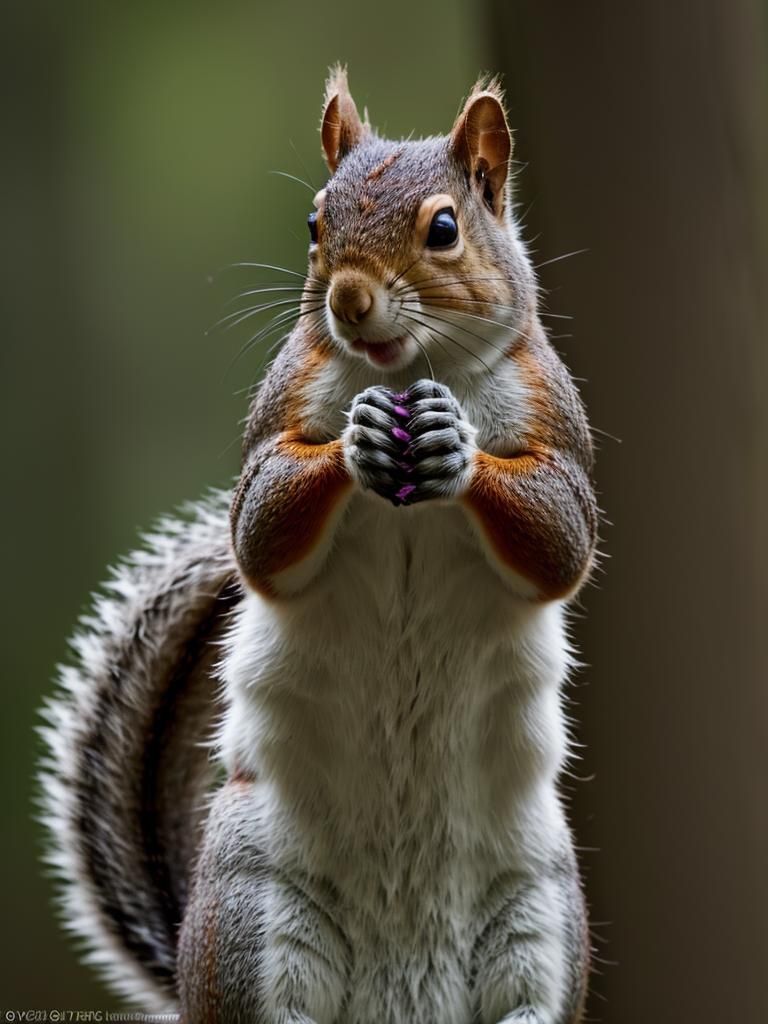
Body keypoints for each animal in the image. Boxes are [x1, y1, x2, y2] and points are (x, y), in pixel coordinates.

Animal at [39, 67, 598, 1024]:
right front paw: (351, 441)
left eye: (444, 229)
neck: (404, 368)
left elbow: (563, 534)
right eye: (313, 224)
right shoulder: (279, 411)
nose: (347, 299)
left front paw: (457, 451)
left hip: (540, 915)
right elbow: (260, 527)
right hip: (248, 913)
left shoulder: (553, 419)